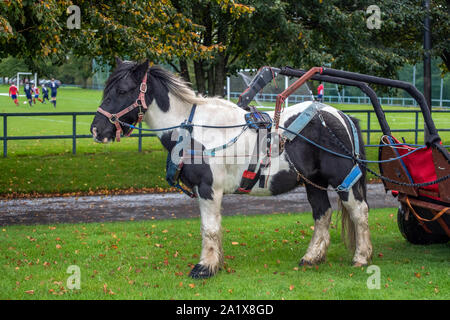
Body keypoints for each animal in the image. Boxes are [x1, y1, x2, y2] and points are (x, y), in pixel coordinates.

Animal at [90, 59, 372, 278]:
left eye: (123, 90)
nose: (96, 130)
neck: (194, 130)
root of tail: (342, 116)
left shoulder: (208, 189)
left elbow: (210, 229)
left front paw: (204, 268)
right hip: (314, 182)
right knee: (322, 214)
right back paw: (312, 257)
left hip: (343, 180)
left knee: (359, 213)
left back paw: (361, 257)